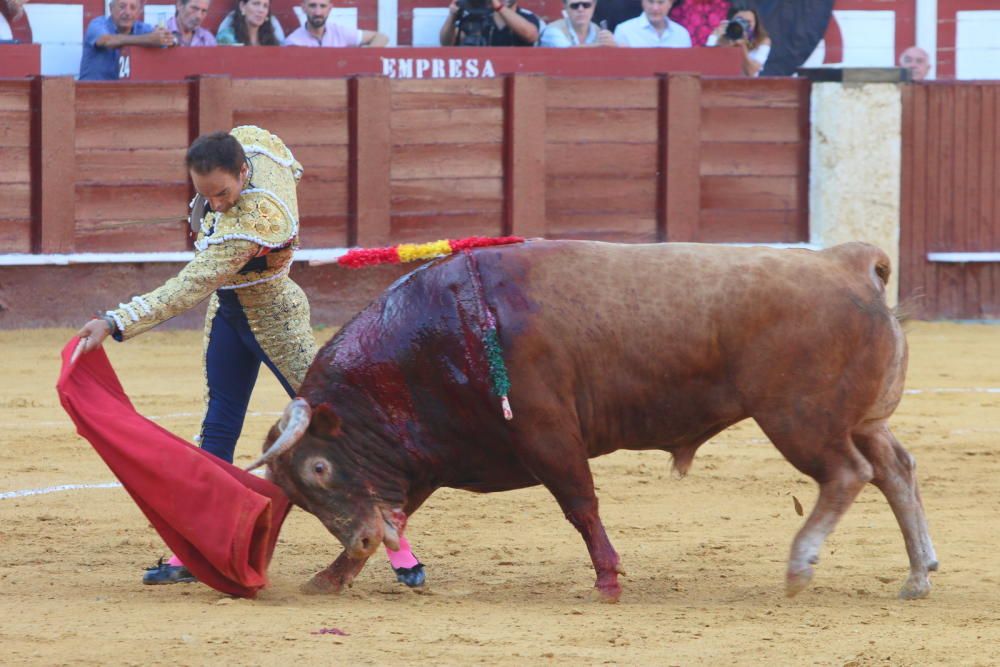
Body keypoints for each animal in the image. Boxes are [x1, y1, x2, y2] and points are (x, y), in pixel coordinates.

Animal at [248, 243, 936, 604]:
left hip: (800, 419)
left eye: (318, 467)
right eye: (297, 494)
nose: (361, 542)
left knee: (848, 474)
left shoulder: (547, 434)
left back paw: (800, 567)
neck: (442, 333)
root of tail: (847, 261)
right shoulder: (419, 465)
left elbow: (580, 505)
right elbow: (400, 513)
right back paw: (917, 575)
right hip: (857, 417)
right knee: (895, 469)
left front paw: (608, 578)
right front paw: (330, 577)